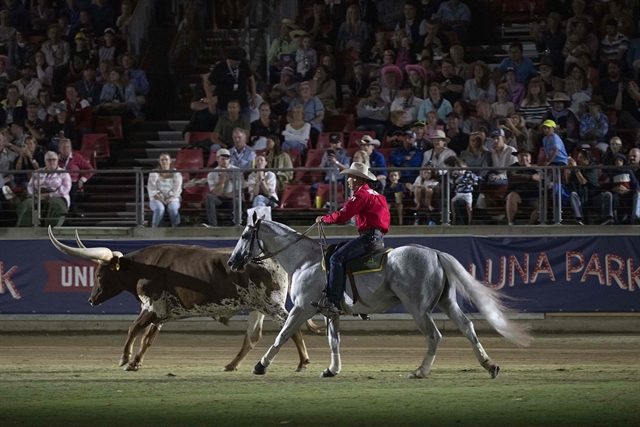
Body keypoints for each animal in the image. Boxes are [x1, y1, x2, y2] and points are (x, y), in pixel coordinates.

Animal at [48, 227, 320, 372]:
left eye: (98, 274)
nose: (91, 300)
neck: (145, 266)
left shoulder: (152, 306)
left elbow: (133, 328)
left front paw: (125, 358)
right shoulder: (161, 313)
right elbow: (148, 338)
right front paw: (135, 362)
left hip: (271, 305)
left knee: (291, 328)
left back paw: (303, 362)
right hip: (257, 307)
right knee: (253, 337)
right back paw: (231, 364)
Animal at [228, 216, 533, 379]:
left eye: (244, 235)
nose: (231, 262)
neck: (305, 260)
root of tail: (435, 253)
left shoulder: (301, 309)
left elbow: (282, 336)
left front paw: (260, 365)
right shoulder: (331, 312)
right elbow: (333, 341)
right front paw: (332, 369)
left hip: (418, 309)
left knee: (434, 336)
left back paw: (420, 371)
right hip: (447, 303)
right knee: (468, 328)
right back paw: (489, 365)